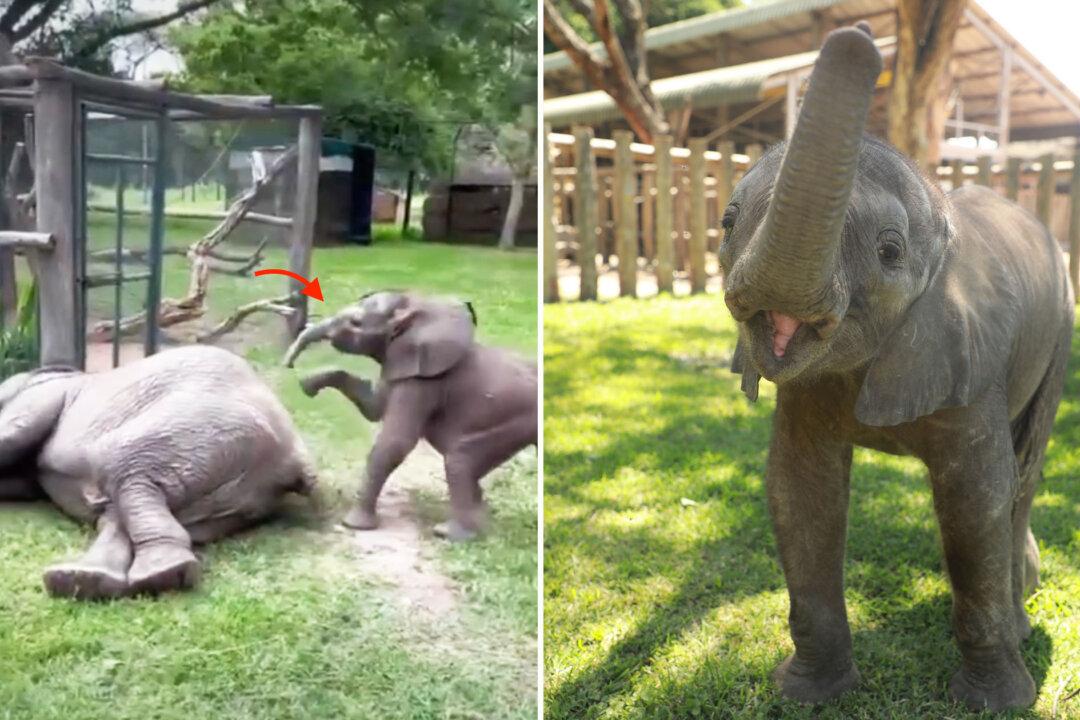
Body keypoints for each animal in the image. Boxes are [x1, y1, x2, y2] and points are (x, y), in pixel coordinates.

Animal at [0, 345, 317, 600]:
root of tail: (293, 456)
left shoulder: (43, 395)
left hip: (203, 425)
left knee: (123, 462)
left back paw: (160, 573)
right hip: (239, 492)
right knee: (117, 508)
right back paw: (84, 580)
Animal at [283, 291, 537, 541]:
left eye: (355, 323)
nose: (288, 364)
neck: (417, 307)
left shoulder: (423, 381)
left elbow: (395, 442)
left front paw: (353, 525)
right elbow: (373, 407)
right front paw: (308, 384)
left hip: (513, 422)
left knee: (459, 461)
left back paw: (449, 533)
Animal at [719, 23, 1072, 711]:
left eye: (889, 251)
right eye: (726, 222)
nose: (858, 33)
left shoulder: (972, 359)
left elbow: (975, 497)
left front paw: (993, 704)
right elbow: (799, 488)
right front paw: (808, 692)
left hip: (1062, 336)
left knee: (1024, 470)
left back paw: (1020, 614)